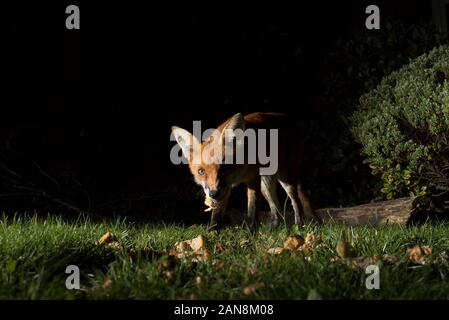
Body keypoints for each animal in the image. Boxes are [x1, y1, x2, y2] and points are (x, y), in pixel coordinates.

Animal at [170, 112, 320, 230]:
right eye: (201, 171)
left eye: (224, 168)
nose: (213, 194)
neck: (237, 174)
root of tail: (289, 119)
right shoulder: (224, 188)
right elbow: (216, 215)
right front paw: (212, 234)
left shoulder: (252, 179)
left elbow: (252, 210)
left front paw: (251, 234)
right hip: (266, 186)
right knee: (276, 209)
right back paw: (274, 229)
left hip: (285, 178)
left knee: (295, 202)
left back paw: (299, 227)